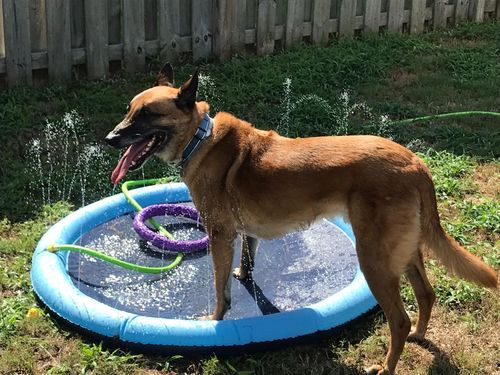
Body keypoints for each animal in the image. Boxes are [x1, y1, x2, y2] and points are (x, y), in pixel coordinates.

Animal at [104, 63, 496, 374]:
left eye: (147, 115)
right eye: (129, 110)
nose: (109, 138)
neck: (200, 138)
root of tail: (416, 164)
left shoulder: (219, 235)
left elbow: (219, 288)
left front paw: (215, 321)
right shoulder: (244, 232)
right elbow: (248, 262)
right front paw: (243, 276)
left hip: (374, 260)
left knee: (399, 320)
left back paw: (387, 366)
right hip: (406, 251)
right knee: (427, 295)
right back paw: (419, 336)